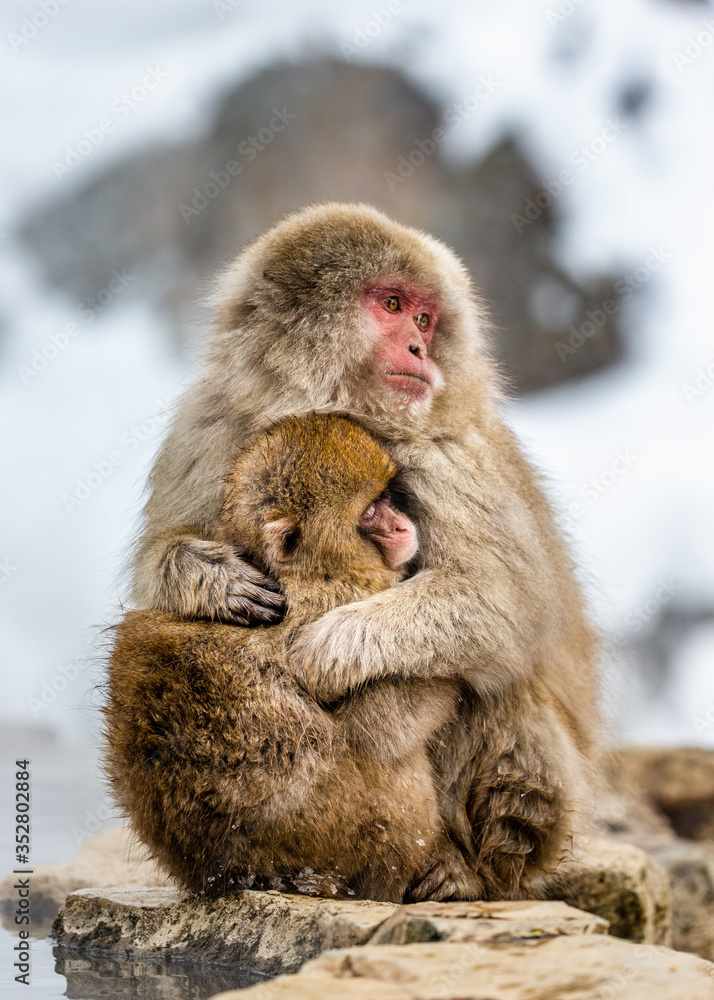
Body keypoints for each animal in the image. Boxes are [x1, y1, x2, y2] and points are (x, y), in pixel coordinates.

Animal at [106, 414, 479, 902]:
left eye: (385, 498)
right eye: (369, 513)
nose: (401, 525)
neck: (315, 569)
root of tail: (230, 871)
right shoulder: (341, 598)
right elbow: (378, 732)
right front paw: (453, 681)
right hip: (365, 836)